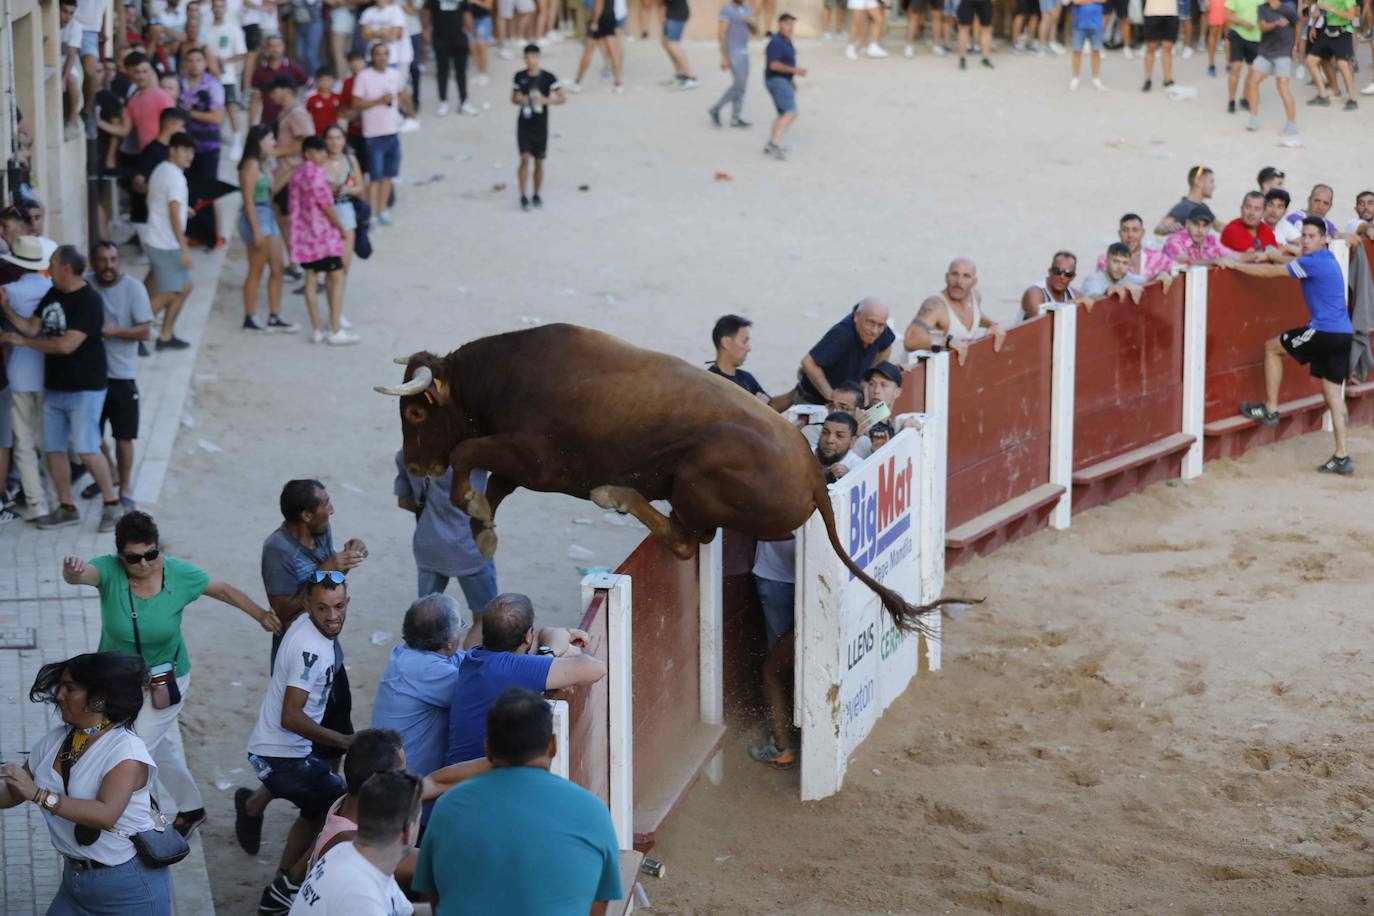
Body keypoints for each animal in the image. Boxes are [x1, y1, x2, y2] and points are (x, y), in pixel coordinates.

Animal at [370, 322, 961, 631]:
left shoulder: (534, 456)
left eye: (415, 412)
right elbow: (491, 481)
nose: (416, 467)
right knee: (686, 535)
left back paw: (615, 493)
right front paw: (483, 528)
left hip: (695, 479)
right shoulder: (523, 460)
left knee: (683, 539)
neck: (504, 377)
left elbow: (468, 452)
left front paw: (472, 510)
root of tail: (816, 476)